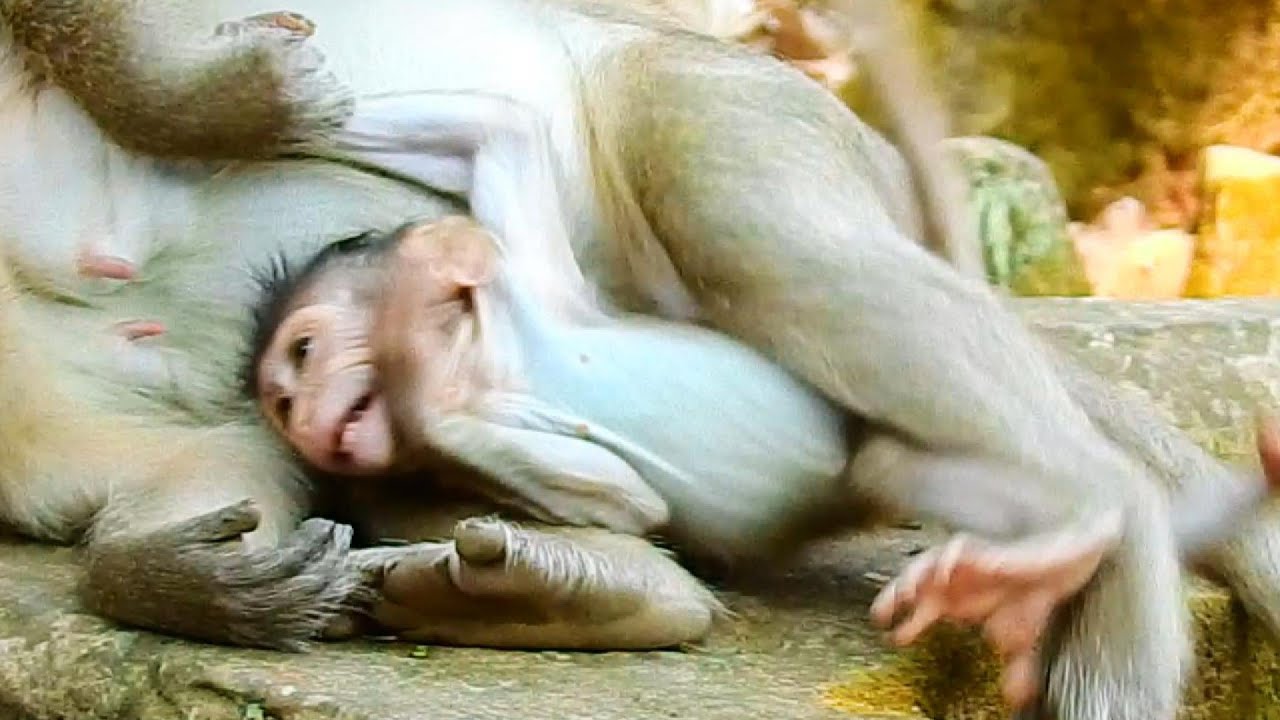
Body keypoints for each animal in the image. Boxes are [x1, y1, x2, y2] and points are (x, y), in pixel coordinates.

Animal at [4, 3, 1280, 718]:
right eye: (286, 378)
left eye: (311, 352)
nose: (311, 403)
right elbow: (214, 460)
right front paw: (178, 579)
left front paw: (223, 100)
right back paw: (574, 595)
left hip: (719, 102)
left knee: (765, 238)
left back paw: (1104, 520)